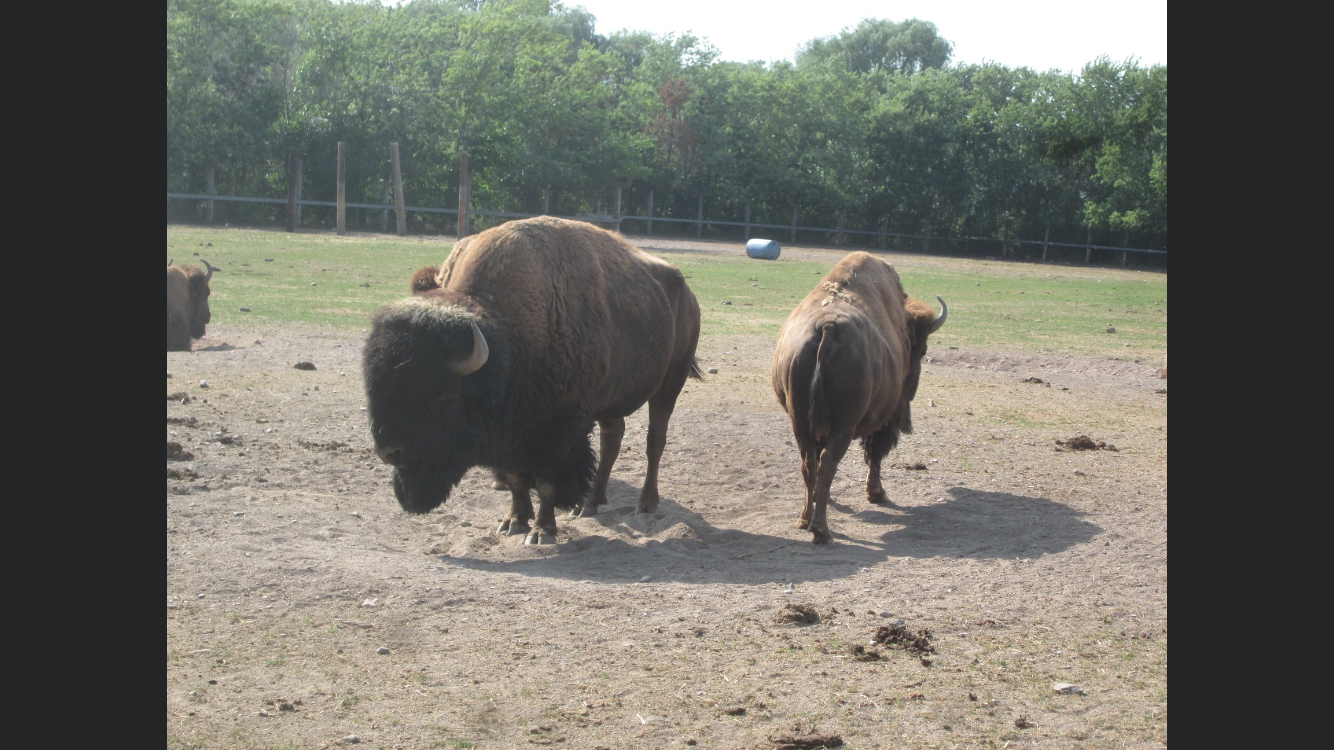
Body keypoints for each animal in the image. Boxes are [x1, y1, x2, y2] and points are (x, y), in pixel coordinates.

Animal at [363, 216, 703, 544]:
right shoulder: (511, 433)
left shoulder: (559, 430)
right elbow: (517, 480)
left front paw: (541, 531)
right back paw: (589, 503)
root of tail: (688, 295)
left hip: (670, 383)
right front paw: (514, 522)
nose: (389, 452)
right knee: (612, 439)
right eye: (375, 388)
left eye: (443, 396)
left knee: (654, 441)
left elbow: (546, 482)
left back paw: (645, 504)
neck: (510, 340)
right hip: (611, 400)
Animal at [771, 251, 946, 543]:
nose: (912, 389)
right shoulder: (883, 418)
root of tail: (828, 327)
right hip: (844, 425)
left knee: (809, 464)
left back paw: (805, 519)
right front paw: (877, 493)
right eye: (921, 350)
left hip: (800, 422)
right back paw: (821, 530)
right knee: (828, 462)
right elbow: (875, 453)